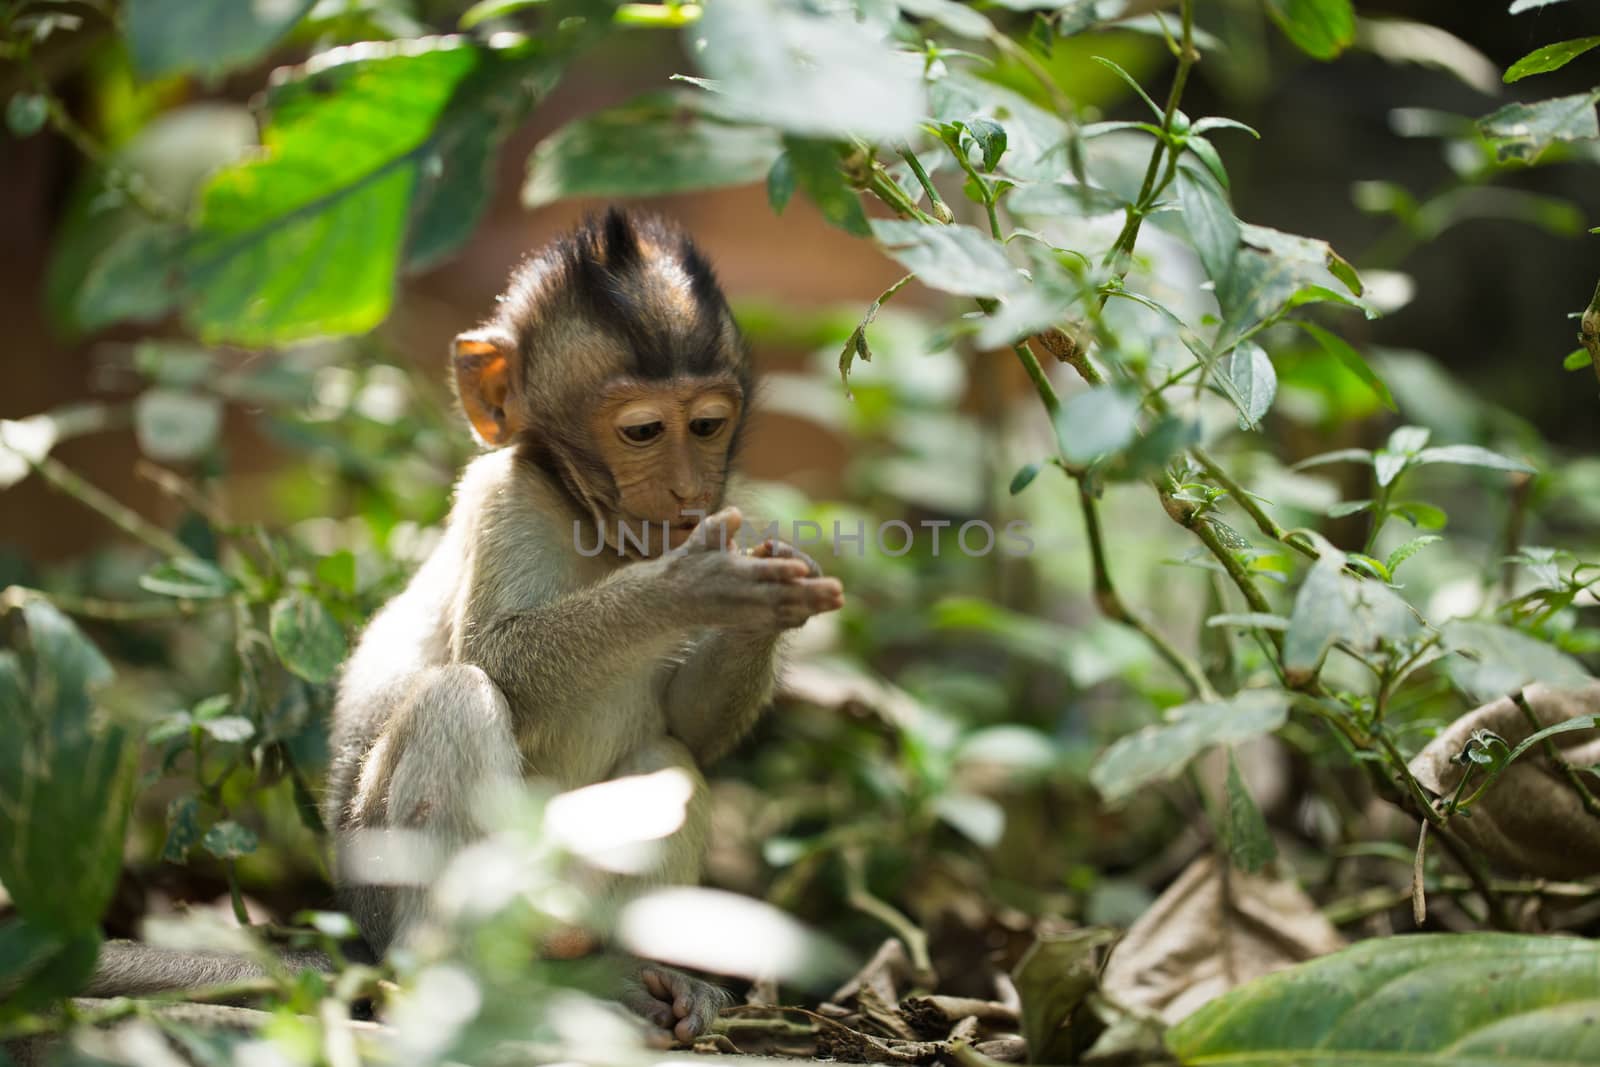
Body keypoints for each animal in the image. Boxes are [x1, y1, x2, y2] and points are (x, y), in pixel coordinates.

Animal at [328, 211, 851, 1043]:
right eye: (642, 431)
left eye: (708, 424)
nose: (689, 489)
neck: (594, 528)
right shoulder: (504, 493)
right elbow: (495, 655)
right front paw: (690, 586)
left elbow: (690, 726)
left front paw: (765, 602)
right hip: (386, 894)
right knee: (457, 696)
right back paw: (462, 986)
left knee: (667, 756)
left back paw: (625, 974)